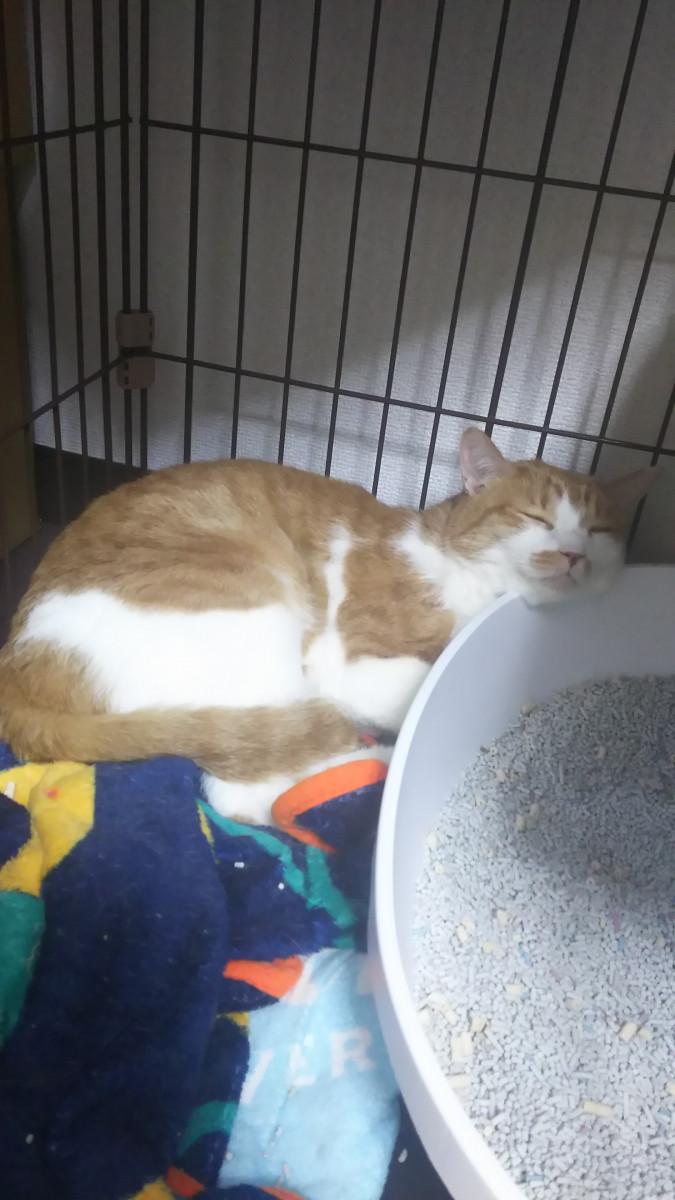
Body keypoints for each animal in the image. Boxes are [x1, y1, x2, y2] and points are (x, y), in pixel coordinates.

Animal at [0, 428, 657, 823]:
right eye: (535, 518)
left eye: (599, 530)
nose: (573, 554)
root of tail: (16, 672)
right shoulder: (342, 663)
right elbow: (410, 687)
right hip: (253, 618)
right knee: (243, 789)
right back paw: (377, 772)